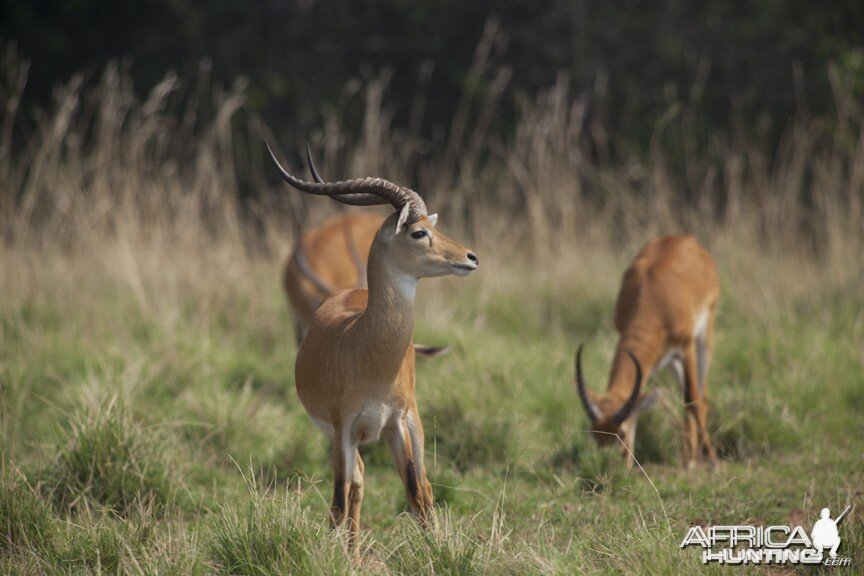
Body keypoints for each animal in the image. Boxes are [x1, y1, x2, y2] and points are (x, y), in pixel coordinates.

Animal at [266, 141, 480, 552]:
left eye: (432, 225)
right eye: (418, 232)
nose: (471, 257)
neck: (366, 347)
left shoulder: (398, 421)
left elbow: (417, 492)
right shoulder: (344, 428)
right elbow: (339, 498)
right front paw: (339, 557)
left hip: (410, 423)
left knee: (414, 486)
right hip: (341, 437)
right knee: (356, 483)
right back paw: (353, 551)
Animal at [572, 236, 724, 470]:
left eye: (621, 432)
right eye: (594, 433)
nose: (609, 466)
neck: (653, 298)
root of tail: (685, 239)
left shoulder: (685, 345)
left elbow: (692, 398)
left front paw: (713, 460)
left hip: (704, 336)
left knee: (700, 394)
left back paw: (695, 458)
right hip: (669, 359)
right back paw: (688, 457)